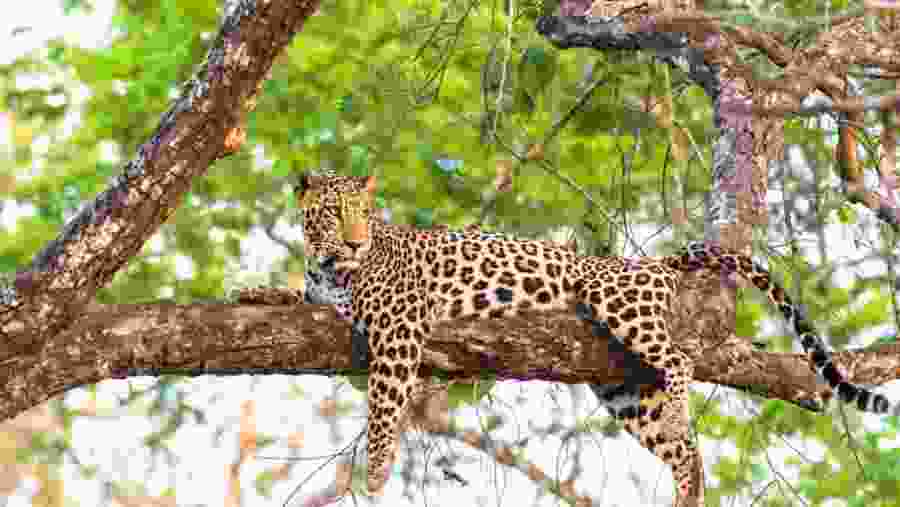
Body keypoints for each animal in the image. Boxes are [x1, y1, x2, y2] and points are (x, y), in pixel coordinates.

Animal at [297, 173, 900, 507]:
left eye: (364, 214)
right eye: (332, 214)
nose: (354, 241)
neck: (330, 267)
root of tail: (654, 262)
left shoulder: (398, 329)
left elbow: (382, 407)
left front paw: (375, 474)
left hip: (615, 302)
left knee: (679, 361)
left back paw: (682, 420)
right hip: (624, 390)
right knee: (683, 447)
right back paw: (688, 492)